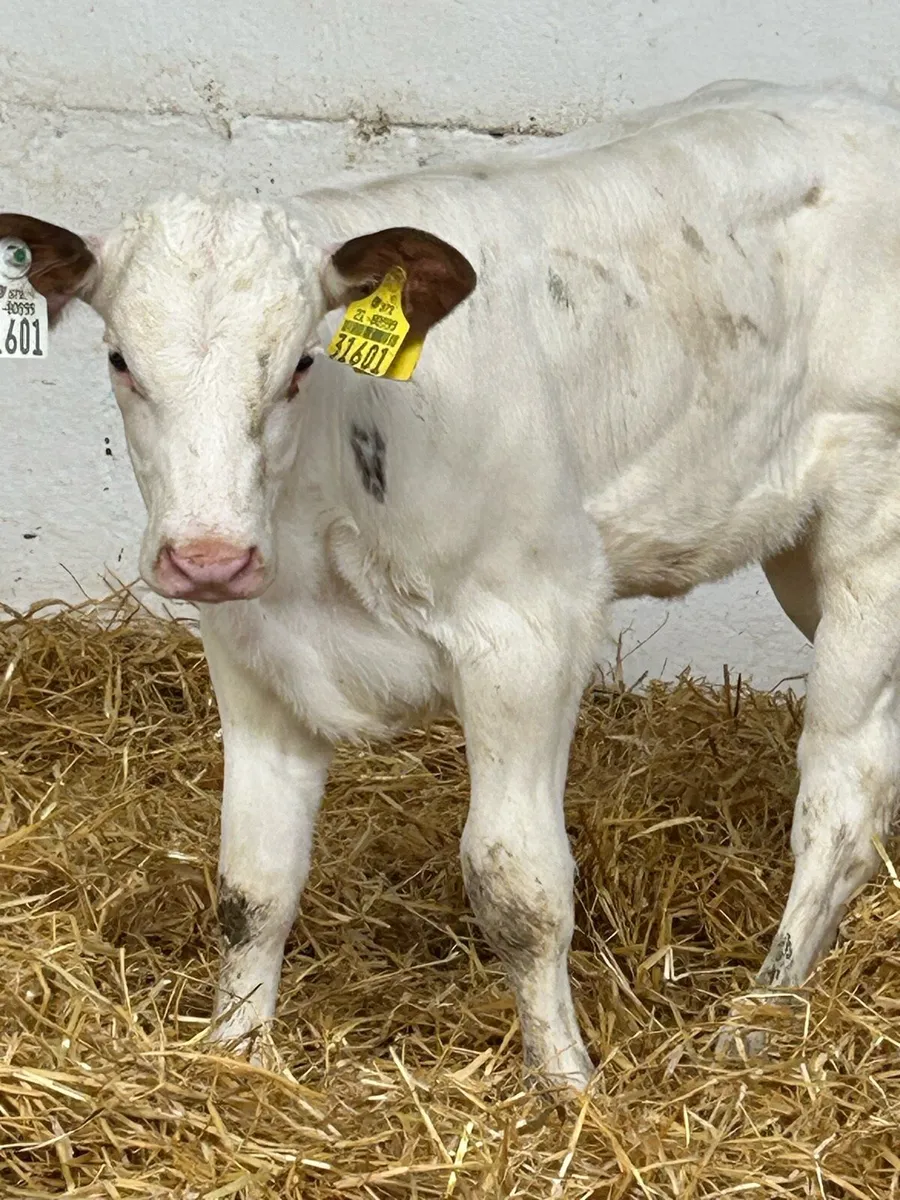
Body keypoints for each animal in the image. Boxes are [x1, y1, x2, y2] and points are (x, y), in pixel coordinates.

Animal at [5, 78, 900, 1091]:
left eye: (301, 365)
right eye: (121, 361)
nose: (208, 557)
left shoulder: (531, 630)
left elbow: (517, 885)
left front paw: (567, 1086)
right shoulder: (253, 651)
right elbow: (252, 882)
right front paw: (233, 1054)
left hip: (871, 524)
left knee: (845, 792)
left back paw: (760, 1015)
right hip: (796, 549)